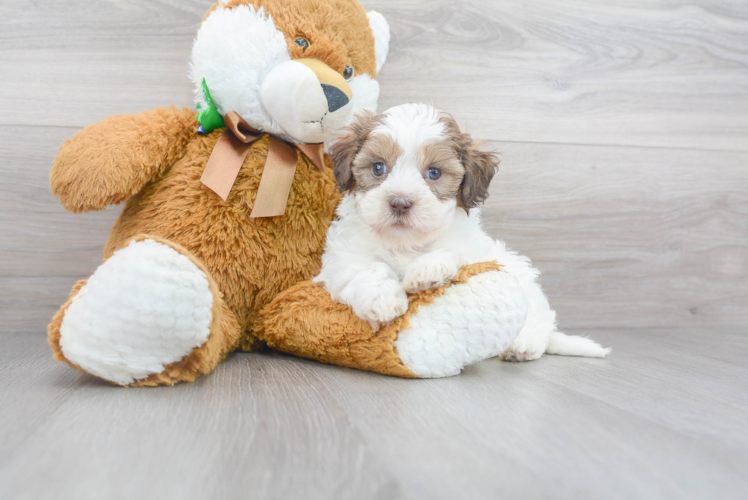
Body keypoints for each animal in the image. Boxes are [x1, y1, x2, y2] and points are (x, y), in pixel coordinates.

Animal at [312, 102, 612, 360]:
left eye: (434, 173)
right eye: (378, 167)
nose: (400, 202)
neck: (406, 242)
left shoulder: (474, 253)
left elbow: (451, 253)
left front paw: (426, 272)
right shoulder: (343, 257)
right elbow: (368, 269)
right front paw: (383, 301)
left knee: (538, 317)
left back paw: (522, 344)